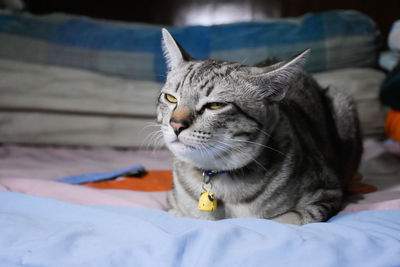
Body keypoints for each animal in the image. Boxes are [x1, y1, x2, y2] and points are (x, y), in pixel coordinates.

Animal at [156, 28, 362, 226]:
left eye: (215, 105)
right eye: (171, 98)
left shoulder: (324, 196)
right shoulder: (172, 202)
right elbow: (182, 215)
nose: (176, 124)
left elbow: (279, 220)